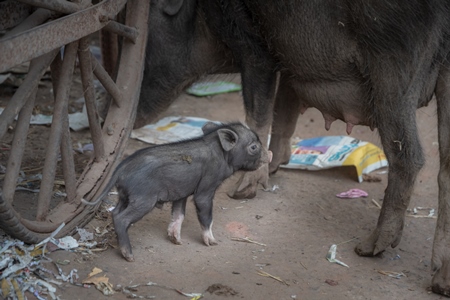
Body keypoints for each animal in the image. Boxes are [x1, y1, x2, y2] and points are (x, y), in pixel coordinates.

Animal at [82, 121, 268, 260]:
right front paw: (213, 243)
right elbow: (206, 214)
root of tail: (120, 169)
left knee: (115, 213)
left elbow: (179, 214)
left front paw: (176, 241)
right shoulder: (207, 186)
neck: (221, 153)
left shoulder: (181, 192)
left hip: (124, 196)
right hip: (144, 199)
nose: (268, 156)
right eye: (253, 147)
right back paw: (129, 256)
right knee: (122, 218)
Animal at [135, 0, 450, 296]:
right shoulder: (286, 59)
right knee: (445, 170)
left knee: (409, 156)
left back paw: (368, 248)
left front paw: (240, 192)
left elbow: (259, 110)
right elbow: (284, 107)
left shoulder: (254, 47)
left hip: (392, 66)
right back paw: (440, 281)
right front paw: (275, 166)